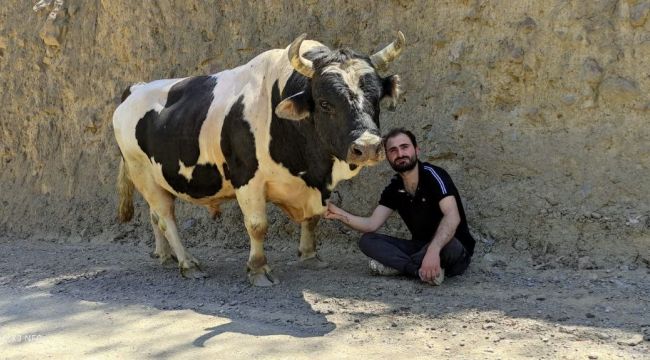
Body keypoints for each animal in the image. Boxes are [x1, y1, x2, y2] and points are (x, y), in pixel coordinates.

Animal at [114, 31, 402, 286]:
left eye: (376, 98)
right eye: (324, 103)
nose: (368, 147)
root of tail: (136, 88)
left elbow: (313, 218)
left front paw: (310, 257)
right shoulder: (247, 179)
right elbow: (257, 225)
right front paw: (258, 269)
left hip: (157, 178)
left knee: (155, 216)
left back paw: (166, 256)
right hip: (141, 172)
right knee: (166, 217)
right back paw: (188, 263)